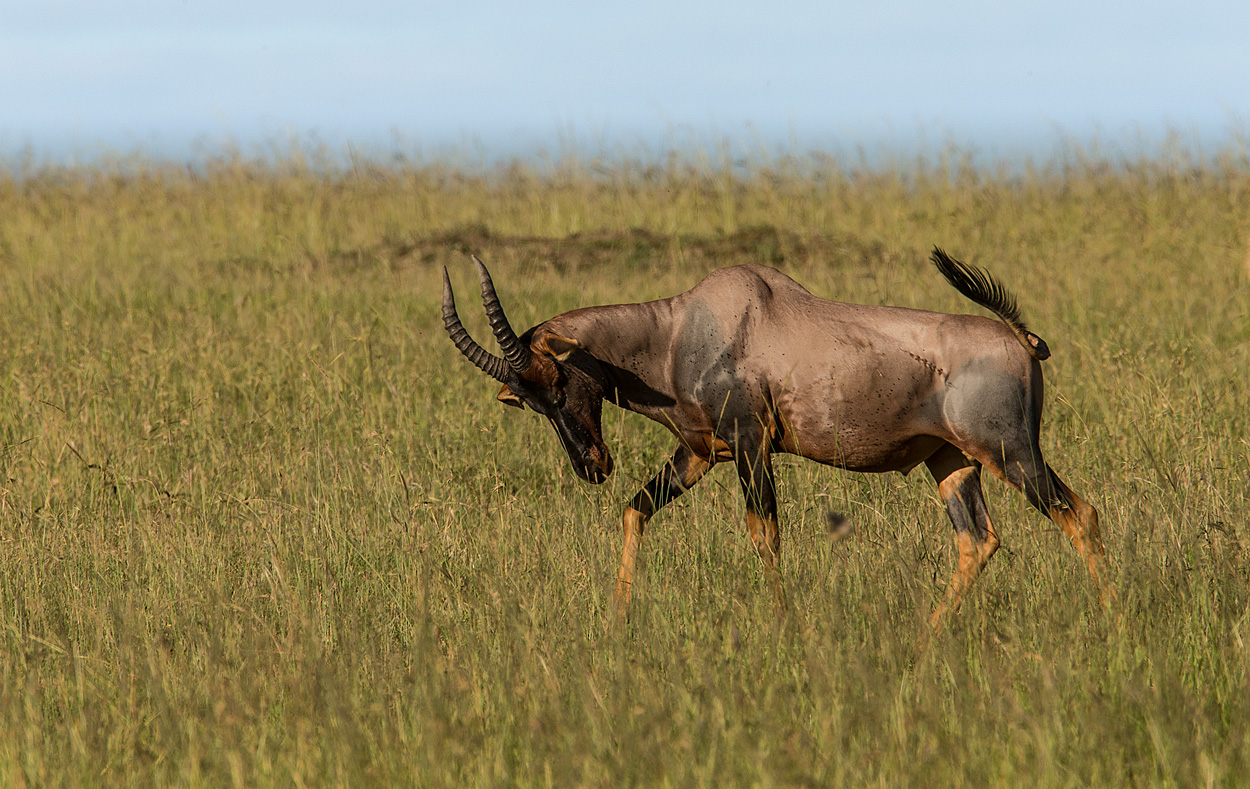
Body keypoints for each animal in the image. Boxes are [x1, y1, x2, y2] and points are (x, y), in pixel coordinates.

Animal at [442, 248, 1115, 630]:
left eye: (558, 378)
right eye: (530, 401)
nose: (592, 464)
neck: (685, 326)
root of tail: (1020, 340)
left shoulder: (750, 443)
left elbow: (764, 532)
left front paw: (782, 629)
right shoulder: (701, 453)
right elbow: (635, 511)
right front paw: (614, 624)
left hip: (1012, 454)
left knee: (1080, 514)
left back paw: (1114, 625)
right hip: (952, 463)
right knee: (978, 541)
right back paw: (925, 643)